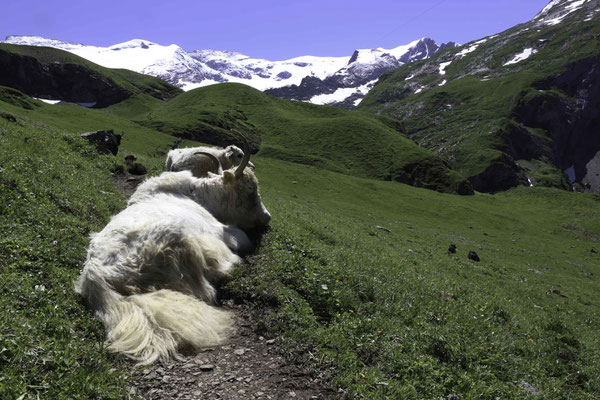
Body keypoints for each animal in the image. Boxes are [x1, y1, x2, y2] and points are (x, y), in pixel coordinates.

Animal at [75, 148, 270, 364]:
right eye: (250, 189)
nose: (267, 218)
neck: (198, 195)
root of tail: (96, 277)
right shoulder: (221, 232)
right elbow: (242, 238)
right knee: (207, 289)